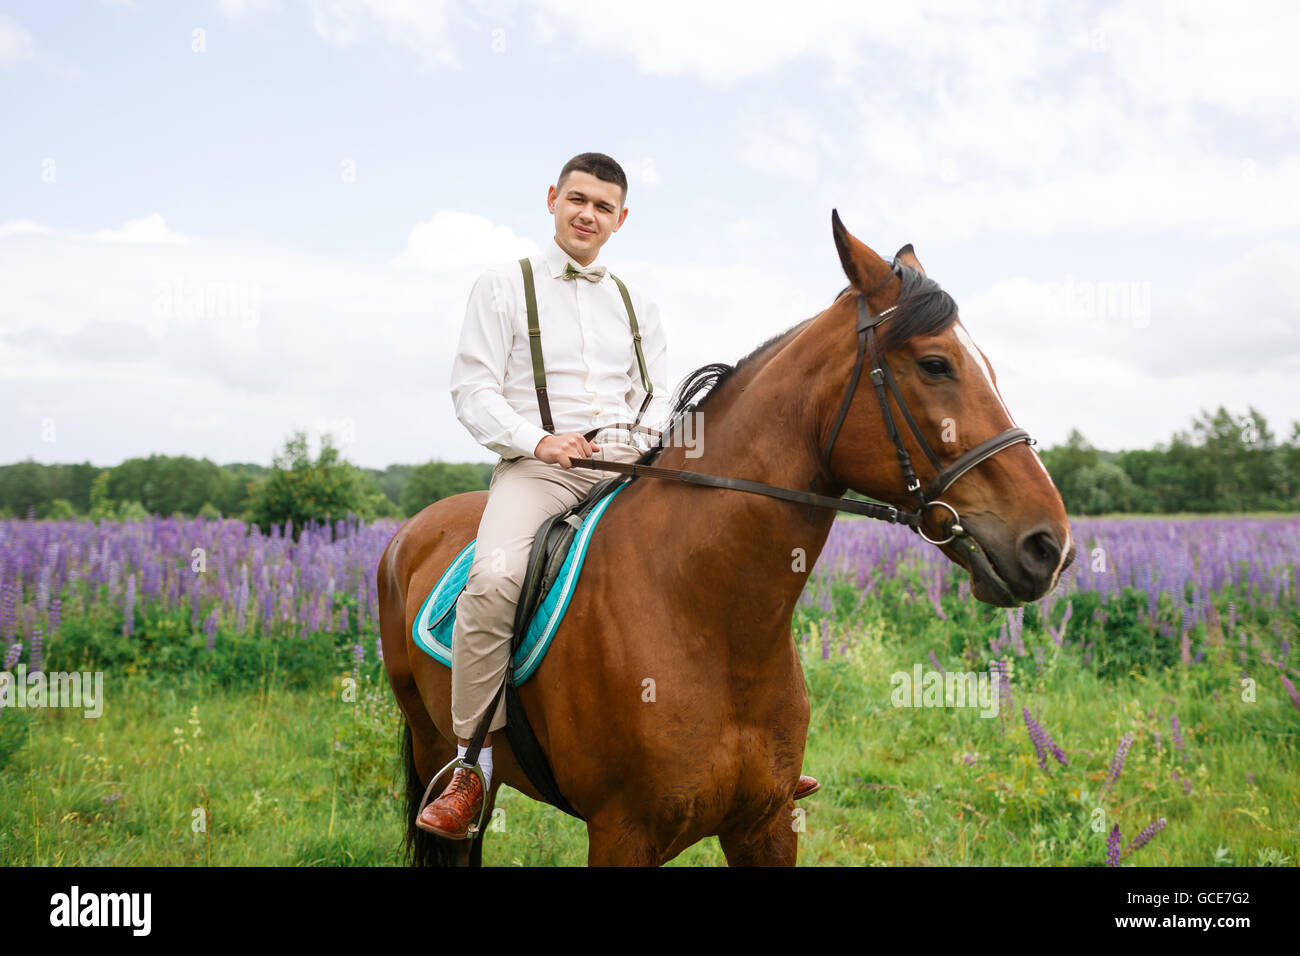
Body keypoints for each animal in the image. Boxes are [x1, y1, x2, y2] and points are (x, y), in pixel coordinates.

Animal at [377, 214, 1076, 868]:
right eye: (935, 364)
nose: (1051, 546)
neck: (711, 618)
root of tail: (411, 530)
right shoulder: (621, 833)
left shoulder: (765, 825)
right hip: (435, 741)